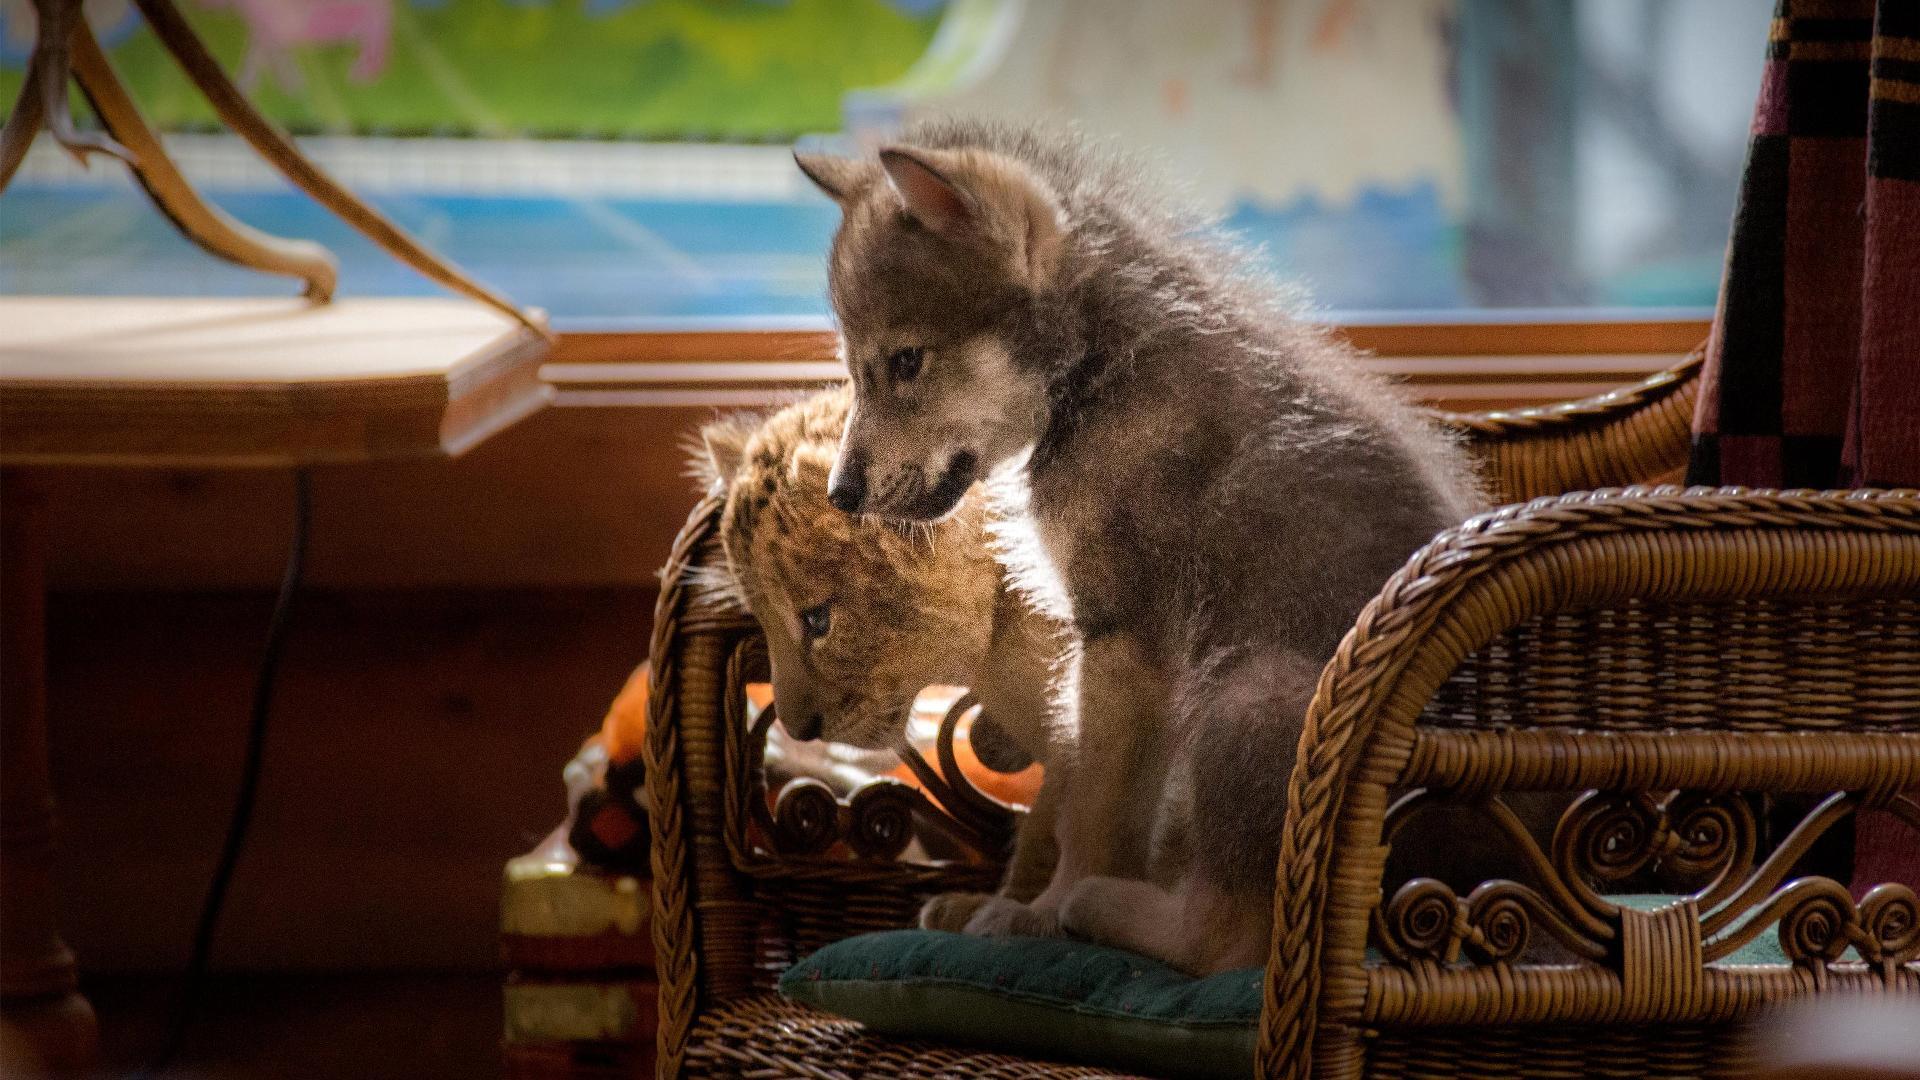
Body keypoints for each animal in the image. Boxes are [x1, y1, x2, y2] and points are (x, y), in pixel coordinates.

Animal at [796, 119, 1486, 975]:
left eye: (906, 362)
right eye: (854, 370)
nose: (840, 495)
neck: (1099, 375)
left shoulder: (1123, 643)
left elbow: (1092, 816)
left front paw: (1038, 914)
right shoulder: (1094, 657)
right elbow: (1069, 799)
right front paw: (989, 907)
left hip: (1247, 697)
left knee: (1227, 942)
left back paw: (1102, 910)